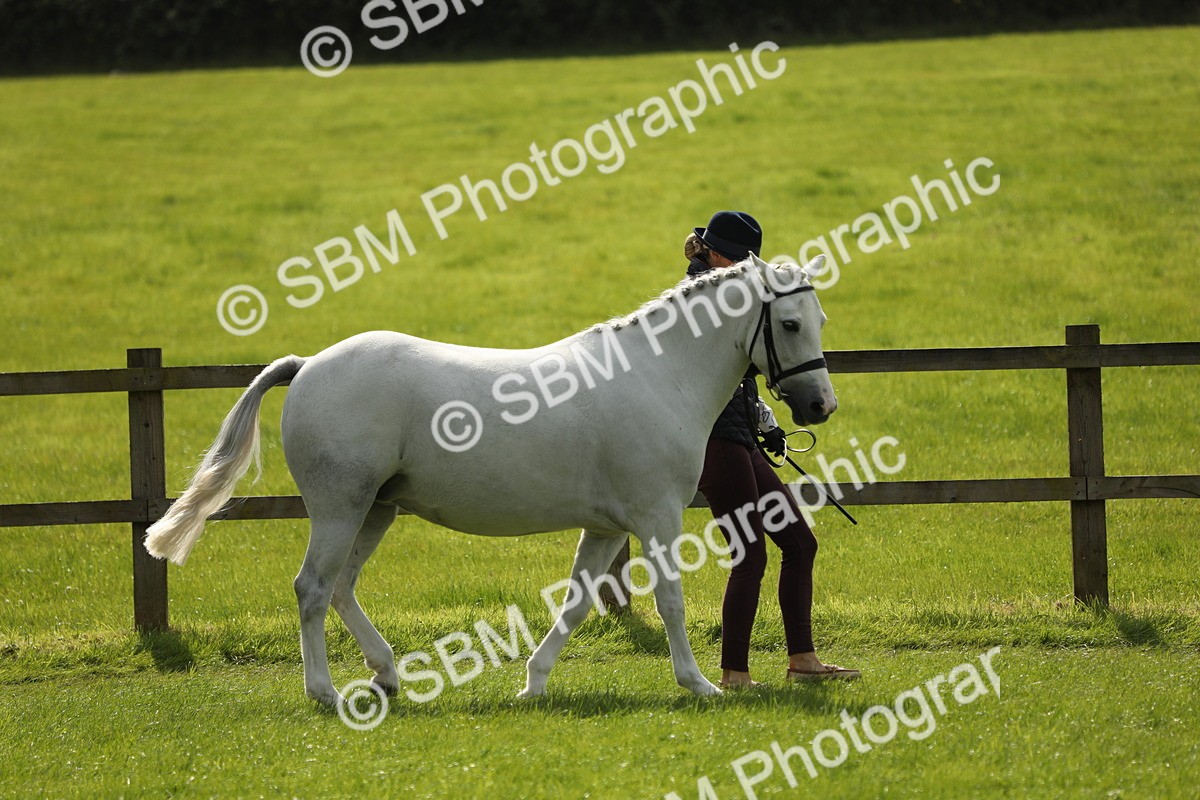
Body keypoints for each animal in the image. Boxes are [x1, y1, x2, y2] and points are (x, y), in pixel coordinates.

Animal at [144, 253, 837, 707]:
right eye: (791, 323)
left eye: (820, 318)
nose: (819, 406)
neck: (656, 375)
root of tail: (310, 364)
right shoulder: (657, 517)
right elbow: (670, 599)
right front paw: (698, 684)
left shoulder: (606, 529)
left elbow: (577, 601)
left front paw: (533, 683)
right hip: (341, 507)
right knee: (313, 589)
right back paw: (325, 692)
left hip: (375, 510)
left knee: (341, 588)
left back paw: (387, 675)